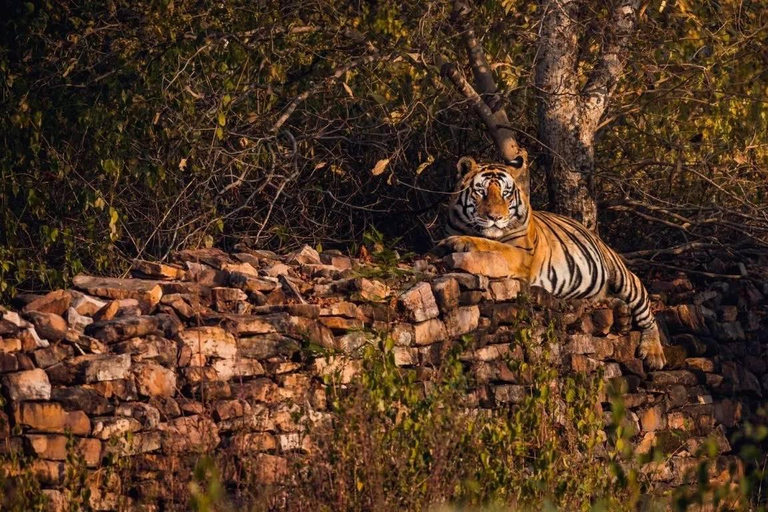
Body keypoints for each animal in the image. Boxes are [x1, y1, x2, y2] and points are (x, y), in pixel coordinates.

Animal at [438, 156, 664, 368]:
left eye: (506, 193)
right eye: (481, 192)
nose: (495, 217)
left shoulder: (520, 254)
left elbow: (491, 245)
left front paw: (459, 241)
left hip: (623, 277)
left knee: (647, 313)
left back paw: (654, 354)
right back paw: (623, 315)